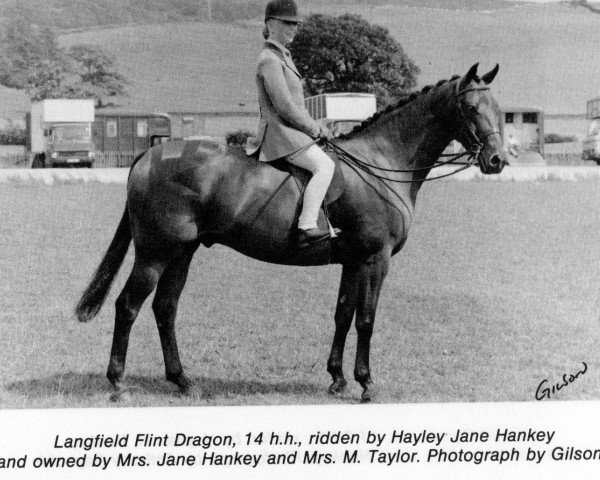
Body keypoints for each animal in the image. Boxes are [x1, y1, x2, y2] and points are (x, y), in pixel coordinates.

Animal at [74, 62, 506, 402]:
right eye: (470, 108)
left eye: (500, 110)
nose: (497, 160)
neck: (381, 163)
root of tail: (149, 154)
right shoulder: (375, 258)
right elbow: (366, 319)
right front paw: (366, 384)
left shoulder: (352, 260)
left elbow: (343, 314)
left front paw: (337, 380)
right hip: (155, 253)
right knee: (128, 306)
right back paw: (118, 383)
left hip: (183, 252)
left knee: (165, 308)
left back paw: (183, 382)